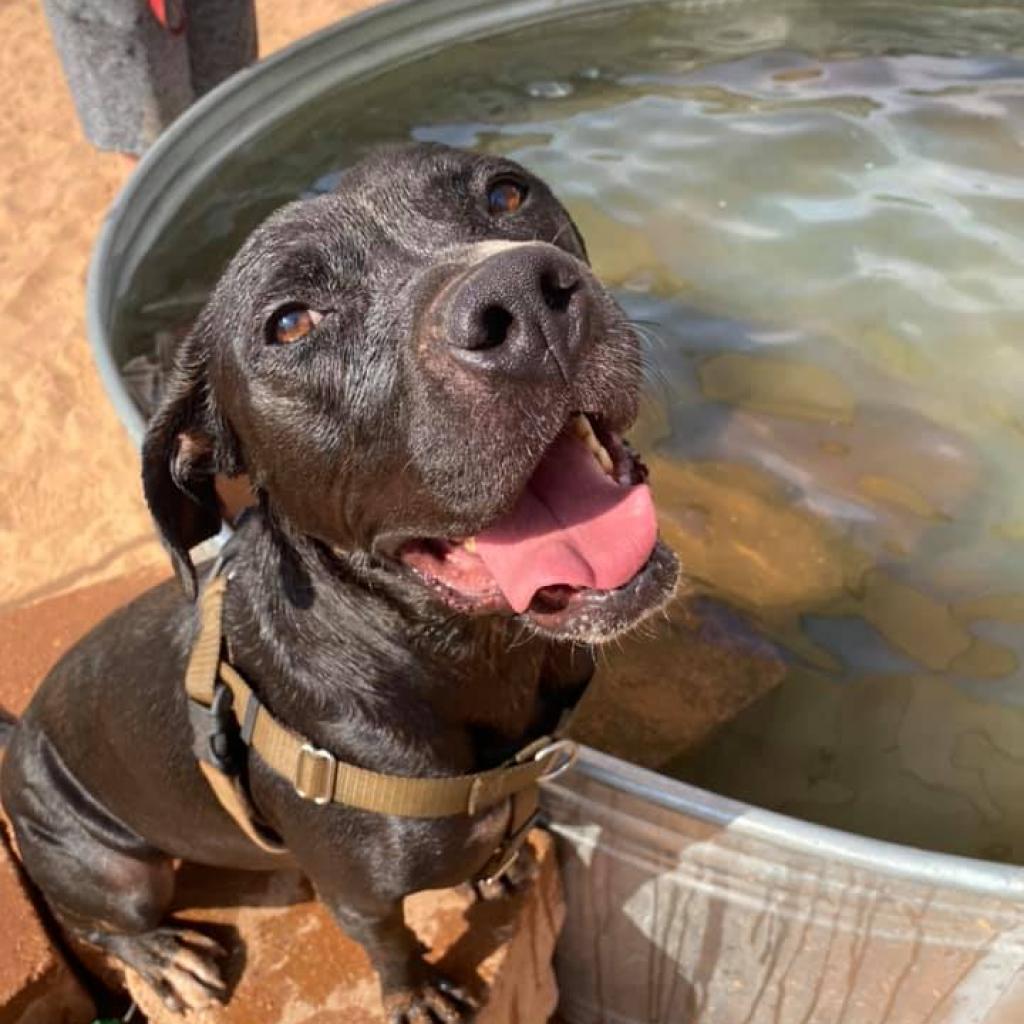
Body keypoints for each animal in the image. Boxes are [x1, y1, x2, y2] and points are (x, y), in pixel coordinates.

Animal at [2, 146, 679, 1024]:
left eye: (506, 193)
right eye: (291, 322)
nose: (524, 299)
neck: (459, 659)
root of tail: (19, 739)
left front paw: (491, 873)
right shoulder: (357, 893)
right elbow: (389, 943)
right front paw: (418, 993)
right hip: (115, 868)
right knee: (104, 921)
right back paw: (162, 955)